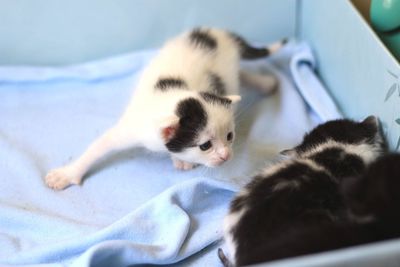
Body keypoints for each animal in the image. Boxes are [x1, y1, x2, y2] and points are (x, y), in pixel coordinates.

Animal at [45, 27, 286, 191]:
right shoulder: (132, 127)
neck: (171, 97)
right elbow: (97, 147)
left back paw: (265, 83)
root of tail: (213, 33)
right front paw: (67, 174)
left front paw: (180, 159)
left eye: (229, 136)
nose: (226, 155)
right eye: (205, 146)